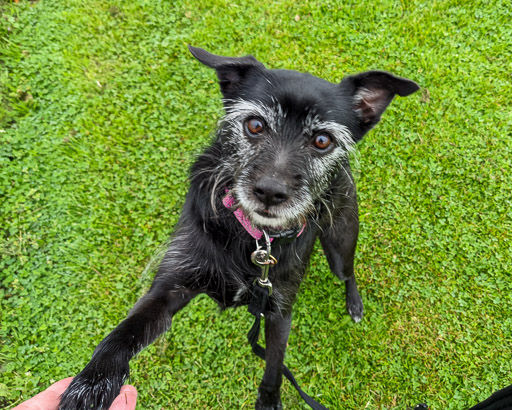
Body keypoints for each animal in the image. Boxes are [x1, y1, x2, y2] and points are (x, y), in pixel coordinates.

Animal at [60, 46, 420, 408]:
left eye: (322, 140)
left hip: (340, 243)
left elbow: (274, 367)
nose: (270, 191)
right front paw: (93, 382)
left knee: (348, 273)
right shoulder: (171, 287)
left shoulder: (278, 312)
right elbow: (126, 331)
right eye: (255, 125)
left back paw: (354, 303)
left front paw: (269, 401)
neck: (253, 236)